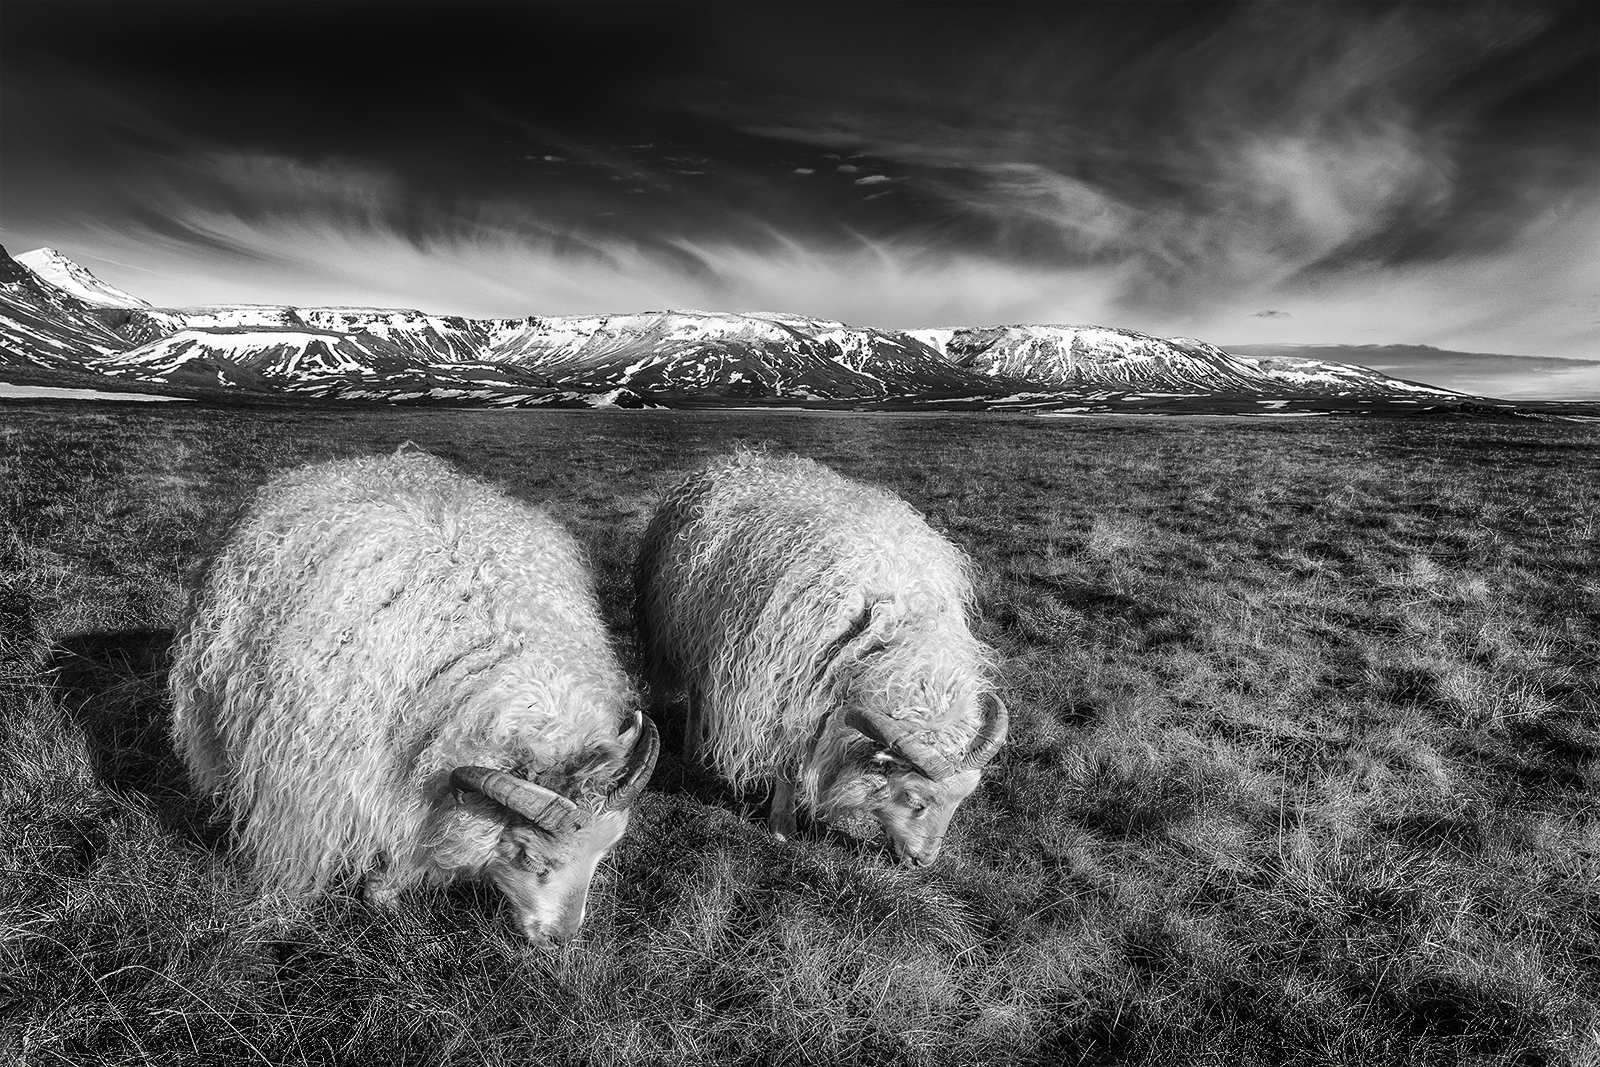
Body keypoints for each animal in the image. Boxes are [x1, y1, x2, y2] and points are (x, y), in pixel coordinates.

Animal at [635, 449, 1005, 867]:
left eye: (960, 801)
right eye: (915, 800)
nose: (922, 863)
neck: (891, 635)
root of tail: (732, 461)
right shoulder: (785, 684)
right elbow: (789, 758)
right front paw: (782, 822)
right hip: (690, 629)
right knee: (698, 692)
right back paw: (693, 750)